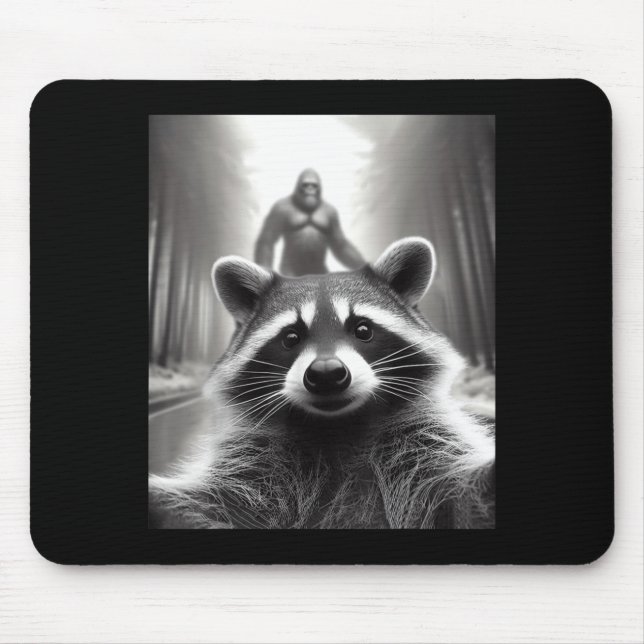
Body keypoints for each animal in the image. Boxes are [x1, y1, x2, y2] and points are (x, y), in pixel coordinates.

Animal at [149, 237, 495, 529]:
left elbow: (454, 496)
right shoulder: (256, 462)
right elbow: (216, 504)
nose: (327, 373)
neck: (338, 425)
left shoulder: (423, 441)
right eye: (291, 337)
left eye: (363, 330)